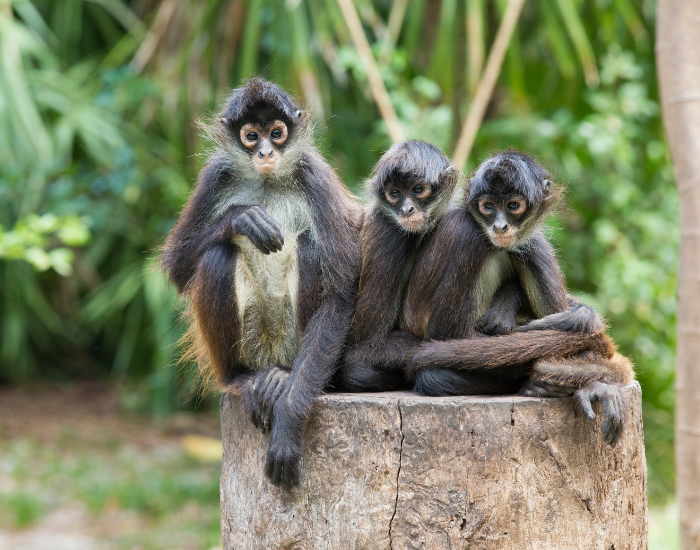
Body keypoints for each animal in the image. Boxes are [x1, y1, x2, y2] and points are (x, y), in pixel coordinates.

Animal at [162, 78, 362, 488]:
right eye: (251, 135)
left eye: (277, 133)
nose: (266, 152)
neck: (268, 181)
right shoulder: (215, 175)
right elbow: (177, 267)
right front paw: (241, 219)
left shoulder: (314, 173)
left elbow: (340, 296)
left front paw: (287, 427)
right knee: (217, 256)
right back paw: (241, 379)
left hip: (291, 342)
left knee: (309, 246)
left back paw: (282, 378)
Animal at [399, 151, 634, 445]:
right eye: (488, 206)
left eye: (513, 205)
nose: (499, 226)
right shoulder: (465, 230)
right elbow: (445, 338)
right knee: (434, 376)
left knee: (532, 245)